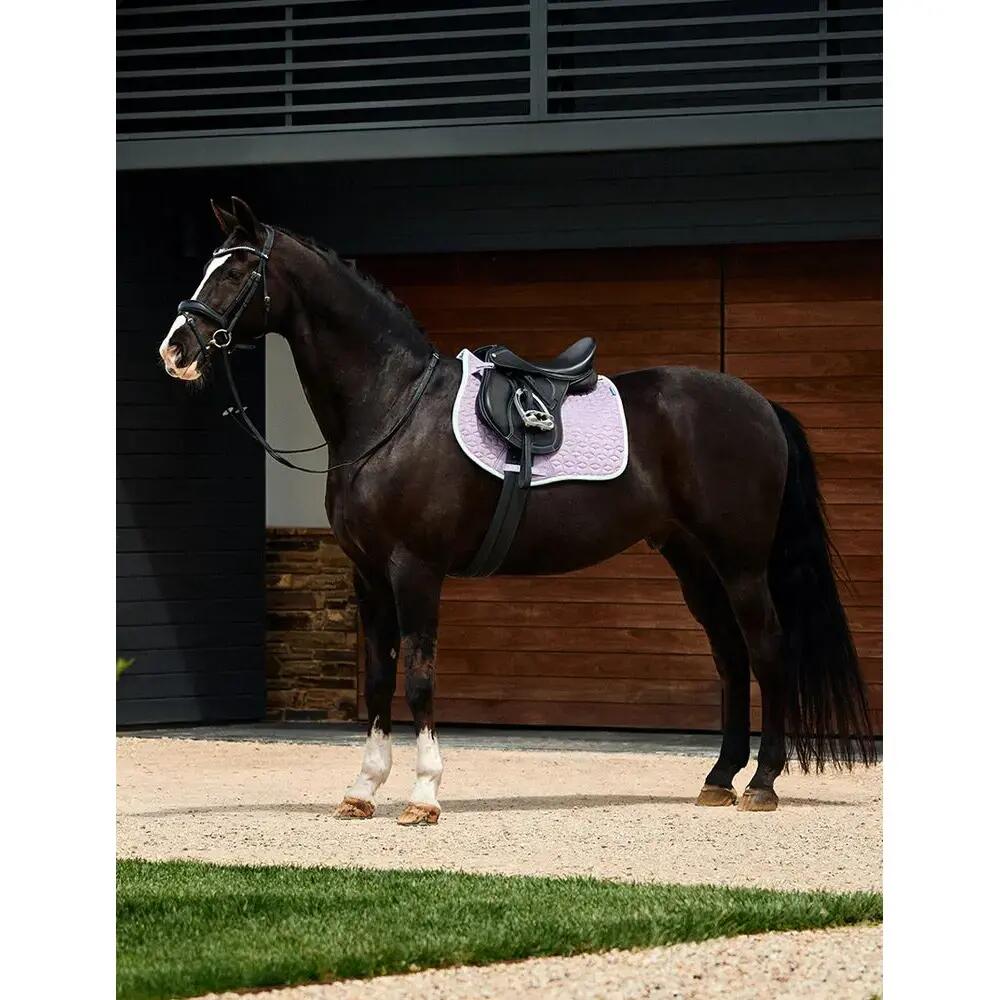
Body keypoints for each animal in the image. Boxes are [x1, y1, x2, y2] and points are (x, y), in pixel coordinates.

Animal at [158, 197, 875, 826]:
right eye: (208, 266)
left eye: (237, 270)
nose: (176, 350)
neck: (392, 408)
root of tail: (762, 406)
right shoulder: (368, 576)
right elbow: (381, 677)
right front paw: (362, 790)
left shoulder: (415, 571)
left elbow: (419, 678)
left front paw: (424, 797)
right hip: (692, 560)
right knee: (729, 656)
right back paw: (720, 778)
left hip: (741, 562)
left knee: (768, 649)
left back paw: (762, 783)